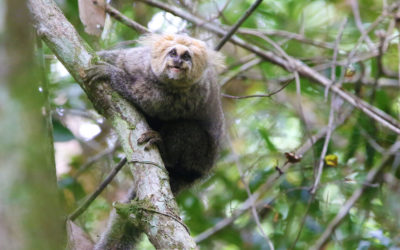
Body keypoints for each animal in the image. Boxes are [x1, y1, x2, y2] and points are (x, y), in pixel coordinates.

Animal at [86, 33, 225, 193]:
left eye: (186, 57)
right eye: (173, 53)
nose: (177, 62)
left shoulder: (195, 92)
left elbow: (147, 101)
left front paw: (111, 74)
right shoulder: (137, 61)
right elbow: (120, 58)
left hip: (199, 162)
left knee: (187, 128)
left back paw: (164, 151)